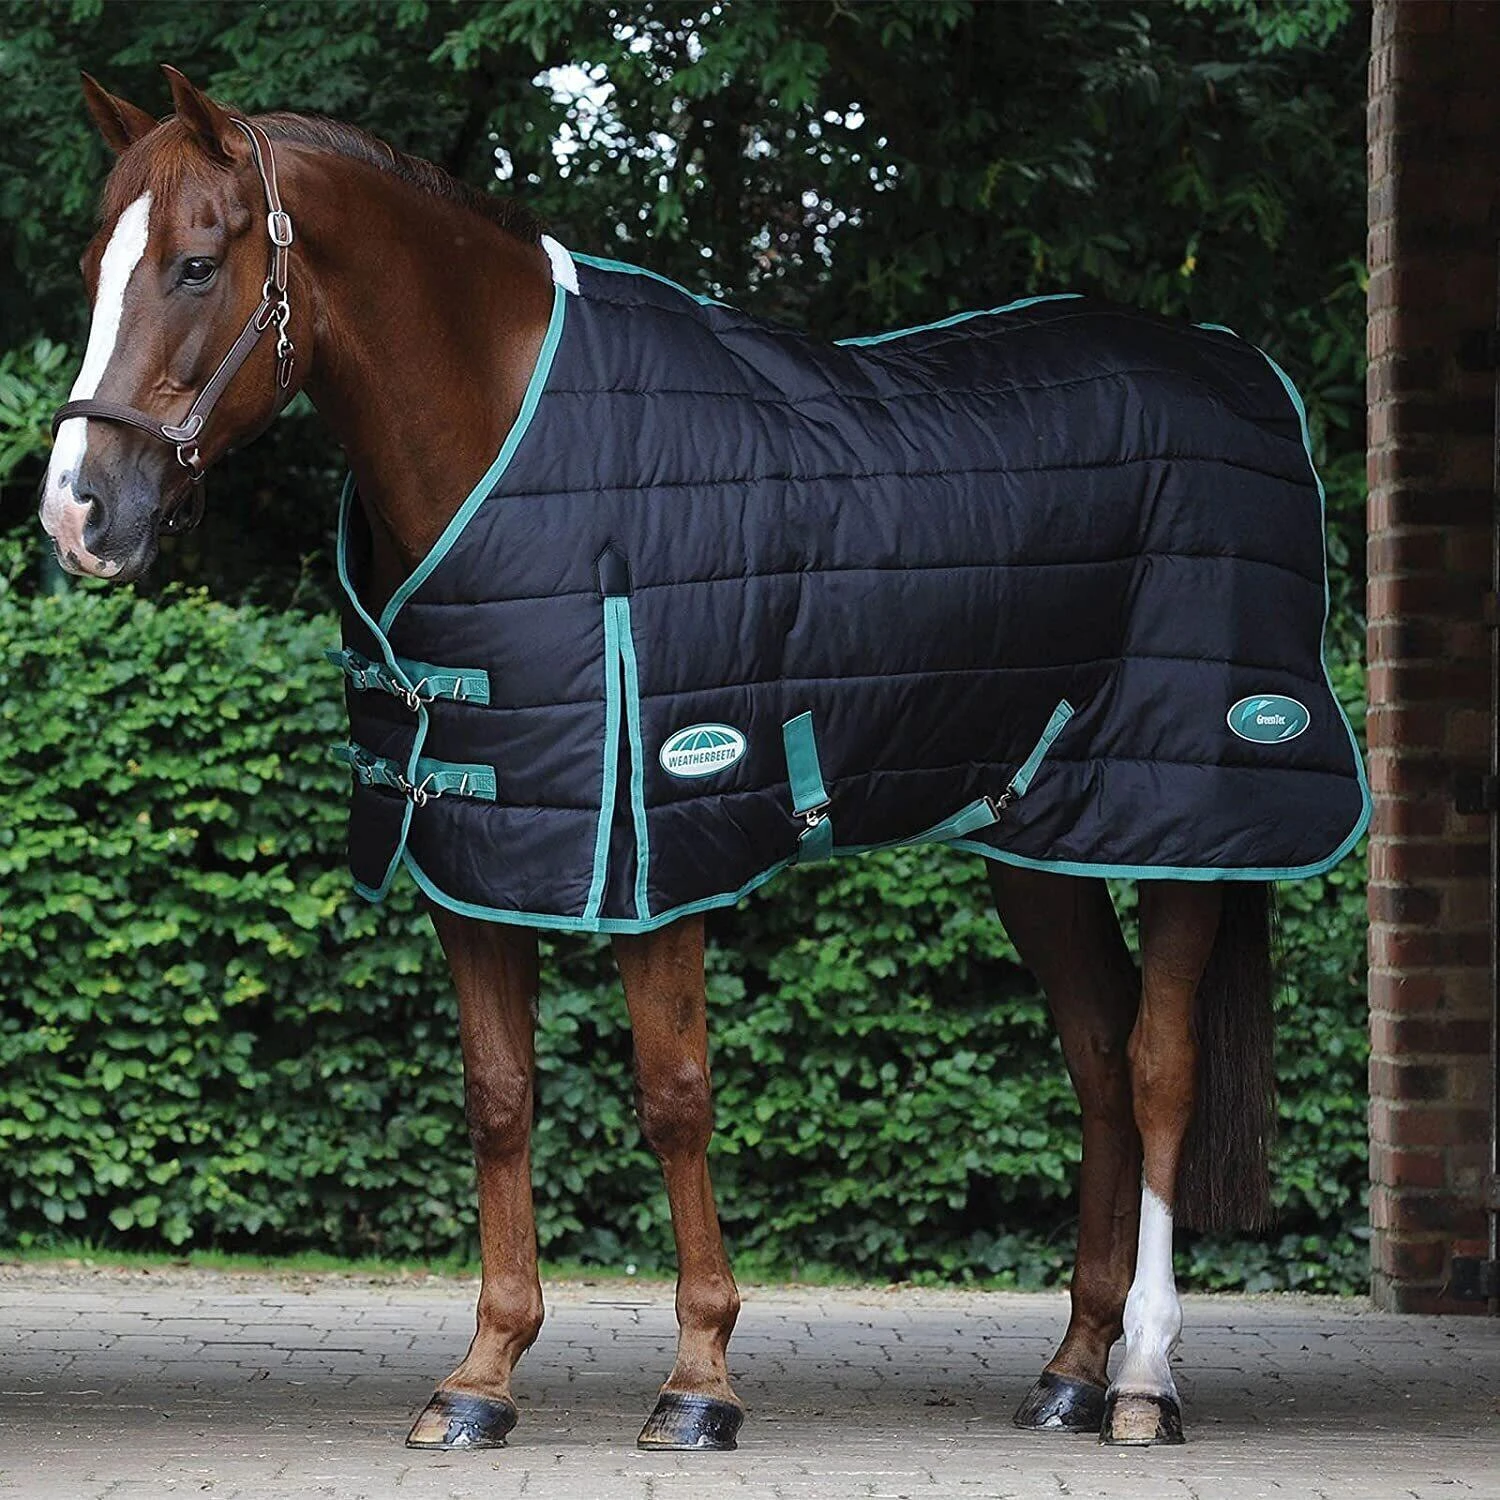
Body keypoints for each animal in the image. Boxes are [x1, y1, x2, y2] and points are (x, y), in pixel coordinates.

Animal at [39, 67, 1367, 1453]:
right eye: (90, 264)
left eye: (196, 265)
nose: (78, 513)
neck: (513, 438)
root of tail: (1232, 368)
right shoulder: (476, 845)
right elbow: (499, 1096)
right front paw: (481, 1378)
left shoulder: (658, 844)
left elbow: (675, 1094)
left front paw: (699, 1383)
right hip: (1040, 833)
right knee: (1100, 1059)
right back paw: (1070, 1370)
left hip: (1189, 826)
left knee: (1160, 1071)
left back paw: (1145, 1380)